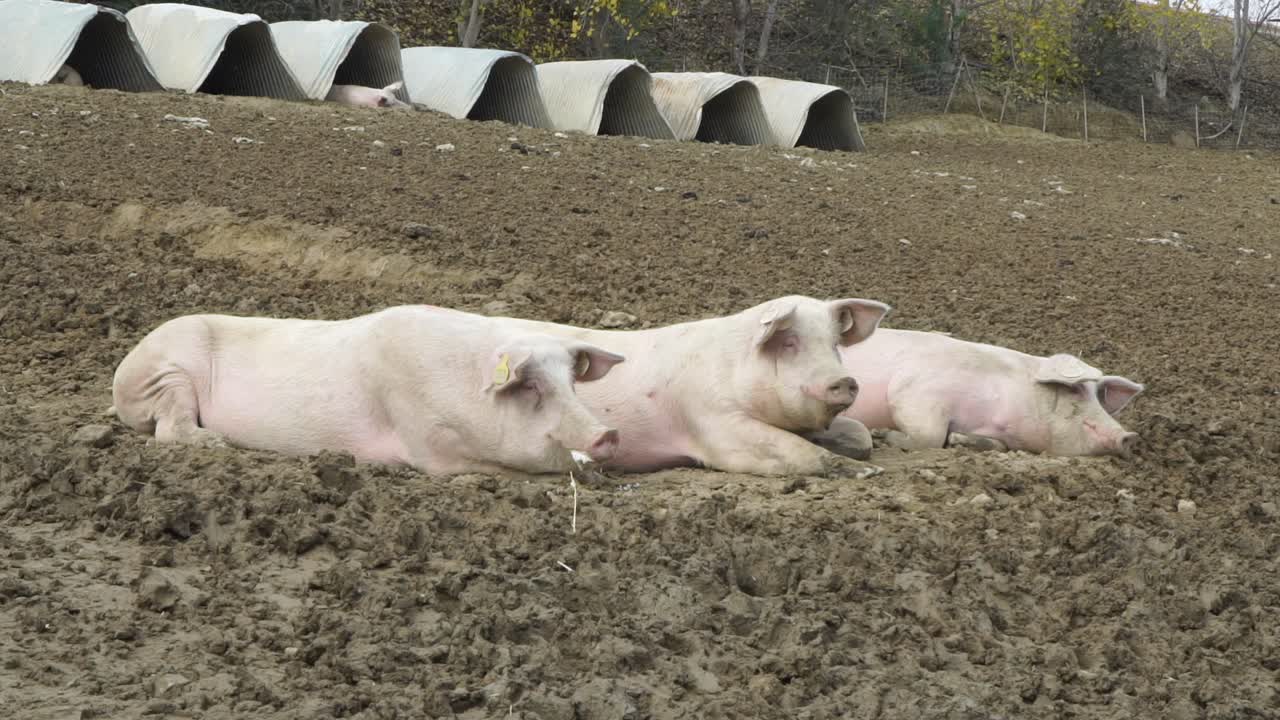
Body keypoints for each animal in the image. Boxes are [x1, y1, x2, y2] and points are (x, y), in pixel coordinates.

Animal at [109, 305, 626, 476]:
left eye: (571, 382)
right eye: (533, 385)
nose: (607, 434)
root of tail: (121, 369)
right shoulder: (430, 441)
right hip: (169, 373)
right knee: (168, 429)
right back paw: (215, 443)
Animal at [488, 295, 892, 479]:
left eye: (835, 344)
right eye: (791, 343)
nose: (844, 380)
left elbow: (860, 432)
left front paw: (865, 460)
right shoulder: (713, 421)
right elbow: (791, 448)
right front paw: (867, 473)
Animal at [829, 328, 1145, 457]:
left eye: (1099, 397)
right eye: (1076, 391)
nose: (1129, 436)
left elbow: (993, 445)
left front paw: (957, 441)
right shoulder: (914, 389)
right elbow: (929, 436)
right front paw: (881, 435)